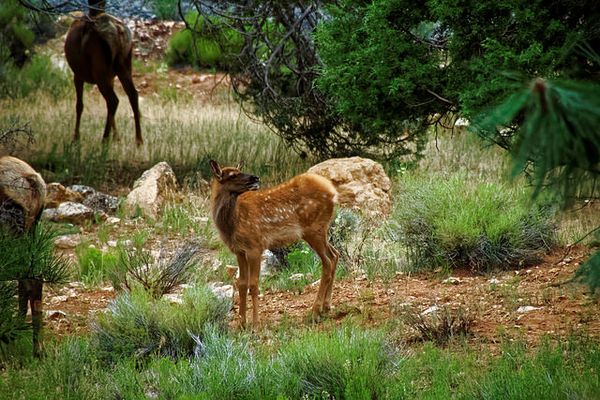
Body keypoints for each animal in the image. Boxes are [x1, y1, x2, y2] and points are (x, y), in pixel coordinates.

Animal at [63, 0, 142, 145]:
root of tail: (118, 32)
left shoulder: (78, 74)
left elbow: (79, 105)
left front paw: (76, 138)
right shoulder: (111, 76)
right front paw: (116, 137)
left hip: (99, 69)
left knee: (113, 100)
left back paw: (104, 140)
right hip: (124, 65)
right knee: (133, 94)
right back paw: (139, 140)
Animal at [211, 160, 340, 328]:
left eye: (238, 171)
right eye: (232, 175)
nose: (255, 178)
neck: (232, 225)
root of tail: (332, 191)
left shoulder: (255, 246)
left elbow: (253, 284)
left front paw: (255, 323)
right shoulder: (239, 251)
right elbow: (242, 284)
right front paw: (241, 323)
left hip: (314, 229)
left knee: (328, 262)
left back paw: (315, 312)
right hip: (321, 231)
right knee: (335, 254)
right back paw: (326, 307)